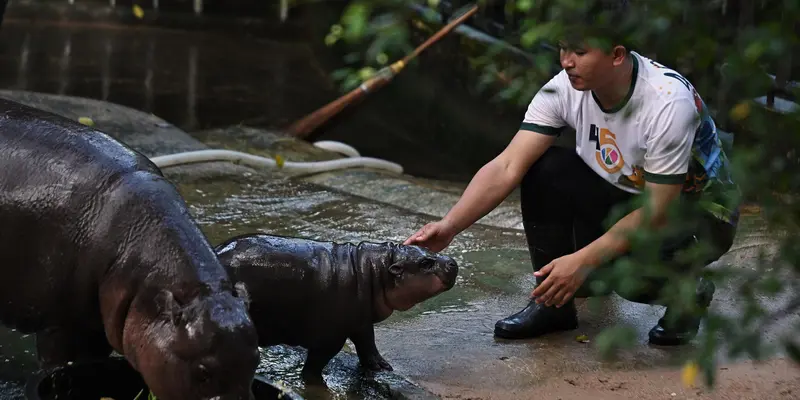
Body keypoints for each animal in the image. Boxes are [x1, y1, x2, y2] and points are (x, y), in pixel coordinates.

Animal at [216, 233, 460, 382]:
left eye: (428, 248)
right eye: (425, 263)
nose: (453, 262)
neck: (375, 271)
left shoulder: (361, 321)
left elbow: (367, 344)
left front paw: (382, 367)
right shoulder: (331, 337)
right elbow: (316, 363)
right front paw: (314, 382)